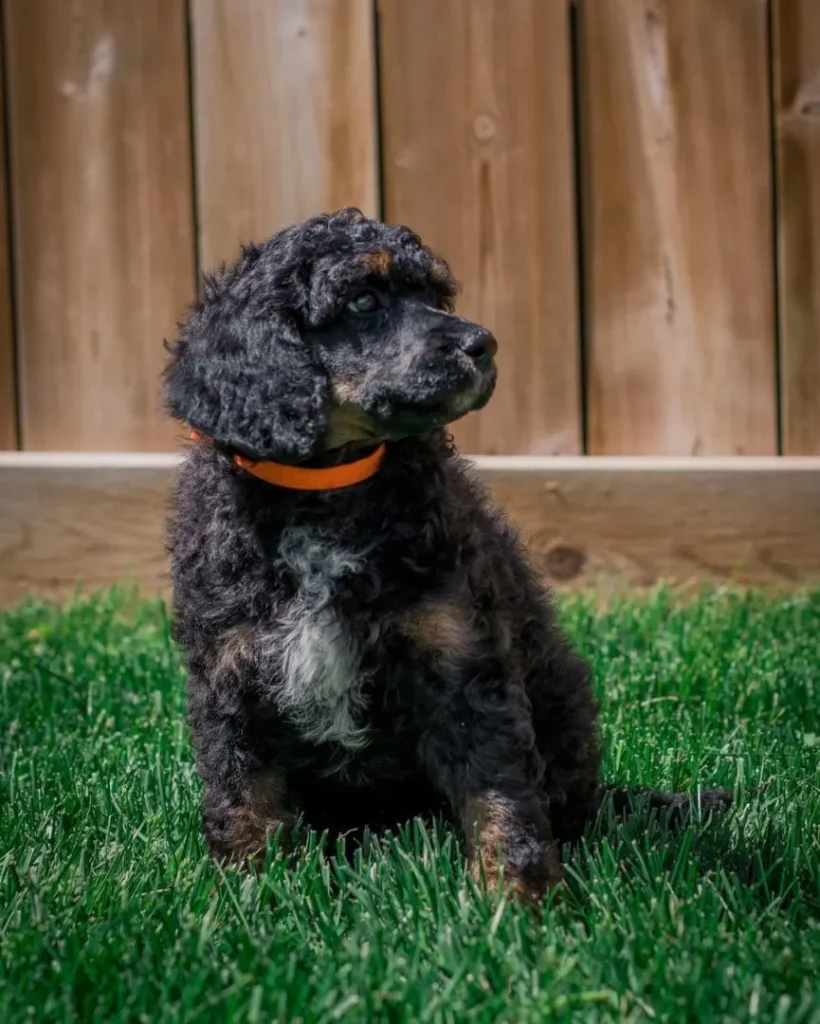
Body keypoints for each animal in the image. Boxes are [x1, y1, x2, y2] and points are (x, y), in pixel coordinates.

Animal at [161, 209, 728, 905]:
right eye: (364, 300)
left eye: (436, 296)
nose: (483, 344)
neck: (327, 494)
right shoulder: (230, 670)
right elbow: (242, 794)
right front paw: (249, 895)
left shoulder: (458, 657)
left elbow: (498, 792)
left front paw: (519, 902)